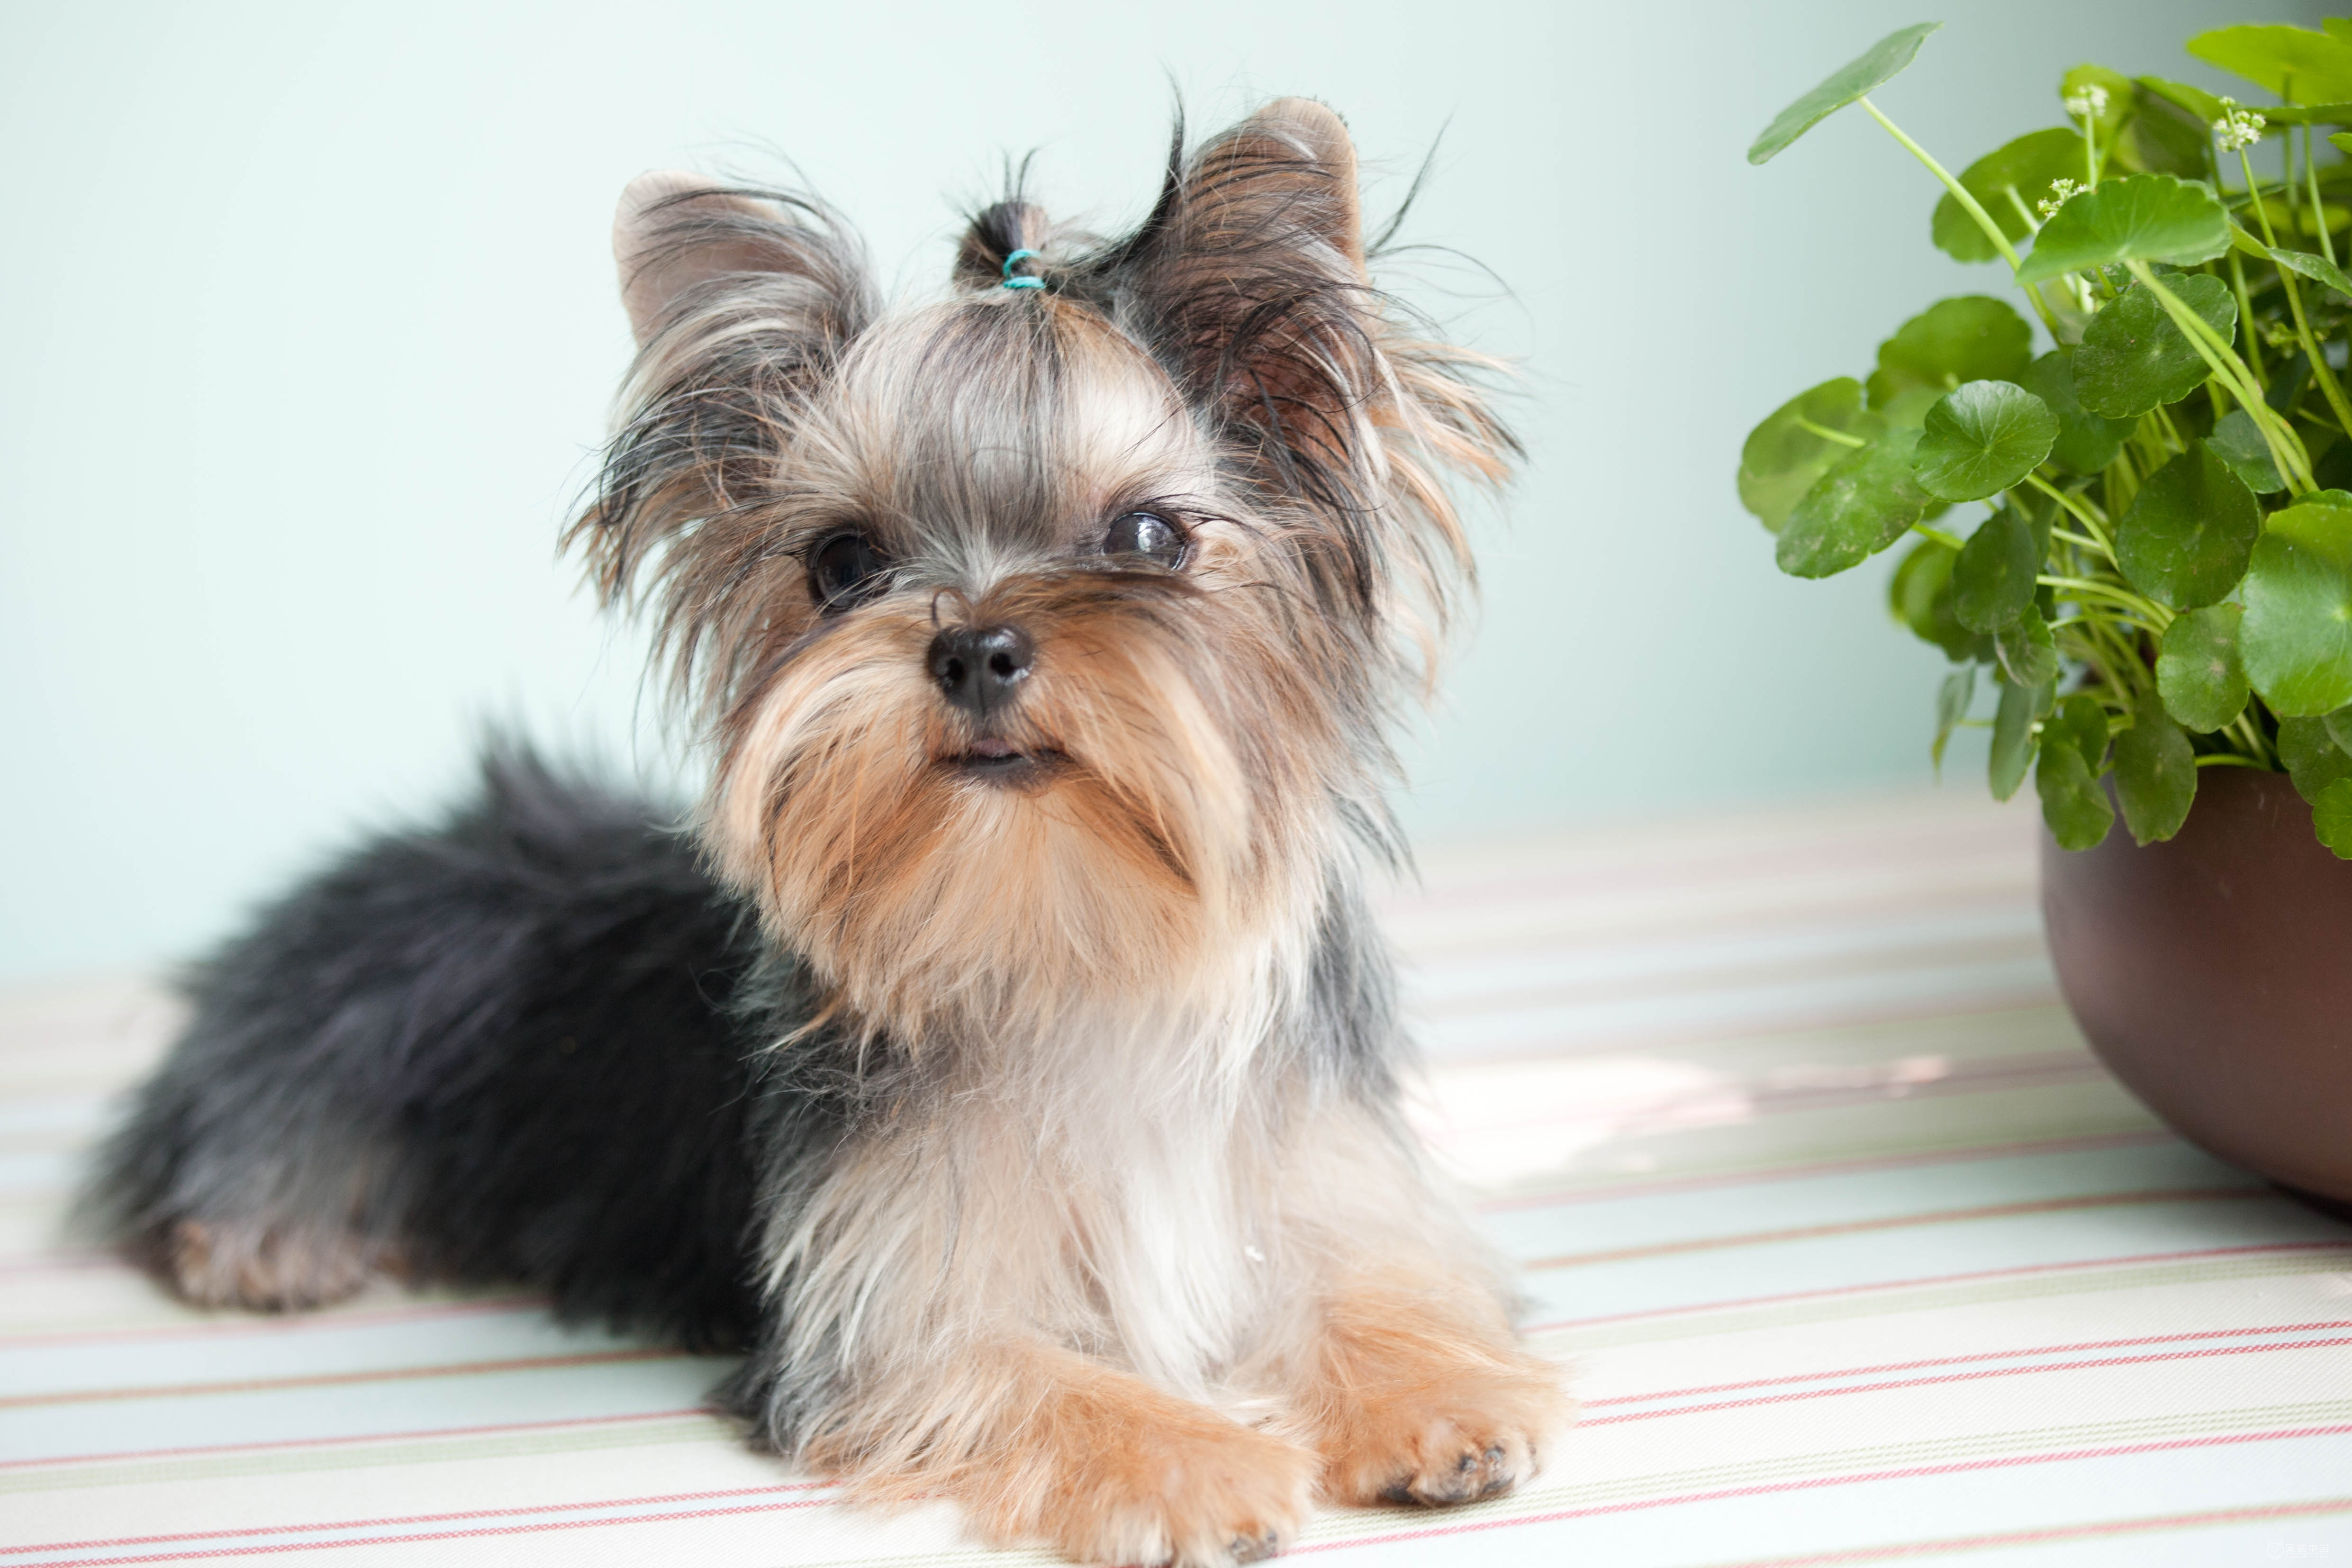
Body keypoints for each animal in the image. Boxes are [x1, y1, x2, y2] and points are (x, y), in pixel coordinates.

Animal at [91, 101, 1571, 1568]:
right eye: (844, 561)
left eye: (1148, 534)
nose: (973, 645)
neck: (1061, 926)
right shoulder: (888, 1319)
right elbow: (1031, 1374)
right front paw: (1190, 1462)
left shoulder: (1321, 1183)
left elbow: (1370, 1281)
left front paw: (1437, 1399)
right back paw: (257, 1241)